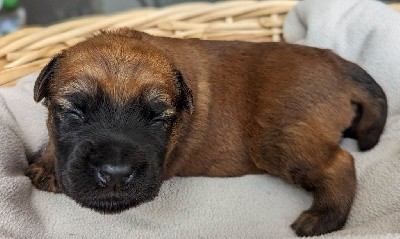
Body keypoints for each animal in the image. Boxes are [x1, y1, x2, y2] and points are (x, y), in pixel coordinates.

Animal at [24, 28, 384, 237]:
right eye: (74, 112)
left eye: (158, 118)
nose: (115, 174)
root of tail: (338, 63)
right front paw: (45, 164)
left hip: (284, 138)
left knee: (339, 163)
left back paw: (323, 218)